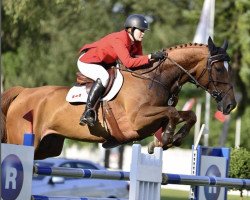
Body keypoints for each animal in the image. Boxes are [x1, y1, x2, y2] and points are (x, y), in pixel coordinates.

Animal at [0, 37, 236, 159]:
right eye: (218, 69)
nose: (230, 105)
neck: (155, 78)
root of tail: (23, 92)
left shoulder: (153, 119)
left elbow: (188, 115)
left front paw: (171, 140)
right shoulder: (138, 121)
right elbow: (172, 113)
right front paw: (166, 138)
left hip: (47, 147)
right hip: (23, 139)